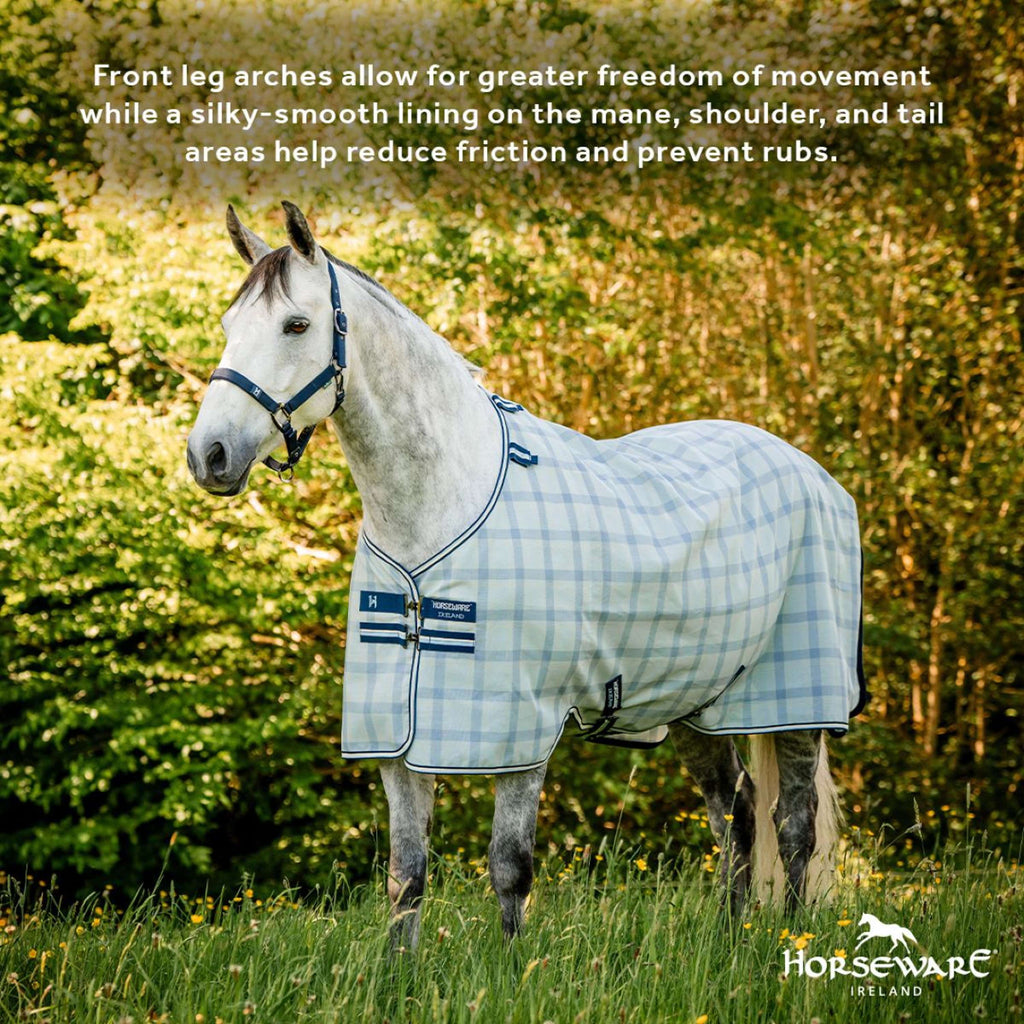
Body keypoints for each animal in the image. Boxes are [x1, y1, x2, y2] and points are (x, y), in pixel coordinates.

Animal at [187, 202, 867, 945]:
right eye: (229, 326)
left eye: (296, 325)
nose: (208, 454)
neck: (439, 507)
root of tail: (809, 470)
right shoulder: (398, 740)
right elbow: (406, 877)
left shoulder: (519, 732)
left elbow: (509, 869)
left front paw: (515, 966)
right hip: (696, 699)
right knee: (736, 814)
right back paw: (727, 939)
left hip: (797, 703)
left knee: (793, 826)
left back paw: (788, 942)